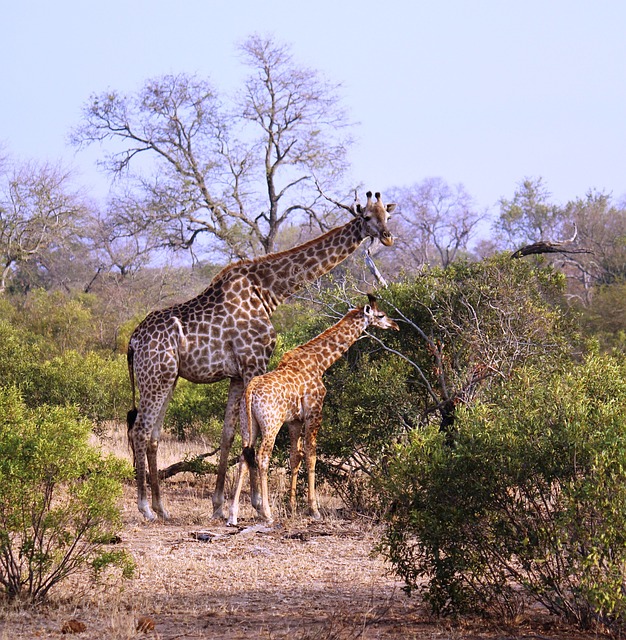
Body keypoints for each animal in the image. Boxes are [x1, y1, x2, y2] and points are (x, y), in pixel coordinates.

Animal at [227, 296, 398, 524]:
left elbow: (294, 457)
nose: (395, 325)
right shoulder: (314, 413)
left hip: (248, 424)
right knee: (262, 457)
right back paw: (267, 513)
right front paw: (313, 509)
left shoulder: (295, 420)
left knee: (244, 457)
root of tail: (251, 390)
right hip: (271, 423)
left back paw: (233, 514)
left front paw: (291, 506)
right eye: (381, 315)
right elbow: (311, 455)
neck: (320, 363)